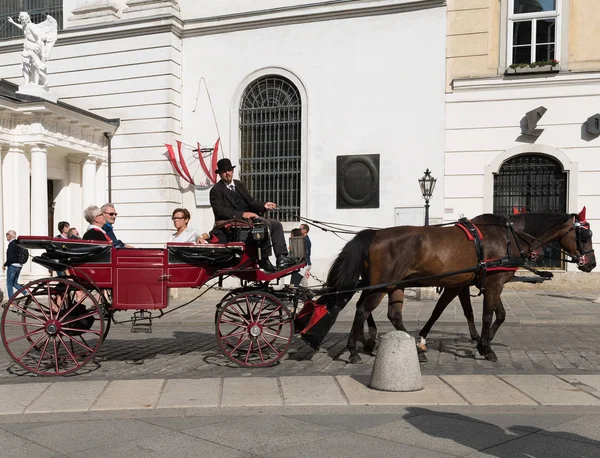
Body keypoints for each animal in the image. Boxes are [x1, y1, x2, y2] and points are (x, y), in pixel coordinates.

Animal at [322, 209, 592, 364]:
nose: (592, 263)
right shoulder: (493, 283)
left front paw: (482, 341)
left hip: (391, 285)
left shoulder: (480, 282)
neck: (507, 237)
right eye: (585, 236)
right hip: (382, 285)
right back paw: (354, 350)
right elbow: (485, 315)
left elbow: (491, 314)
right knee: (362, 310)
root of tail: (374, 234)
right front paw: (486, 347)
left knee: (389, 314)